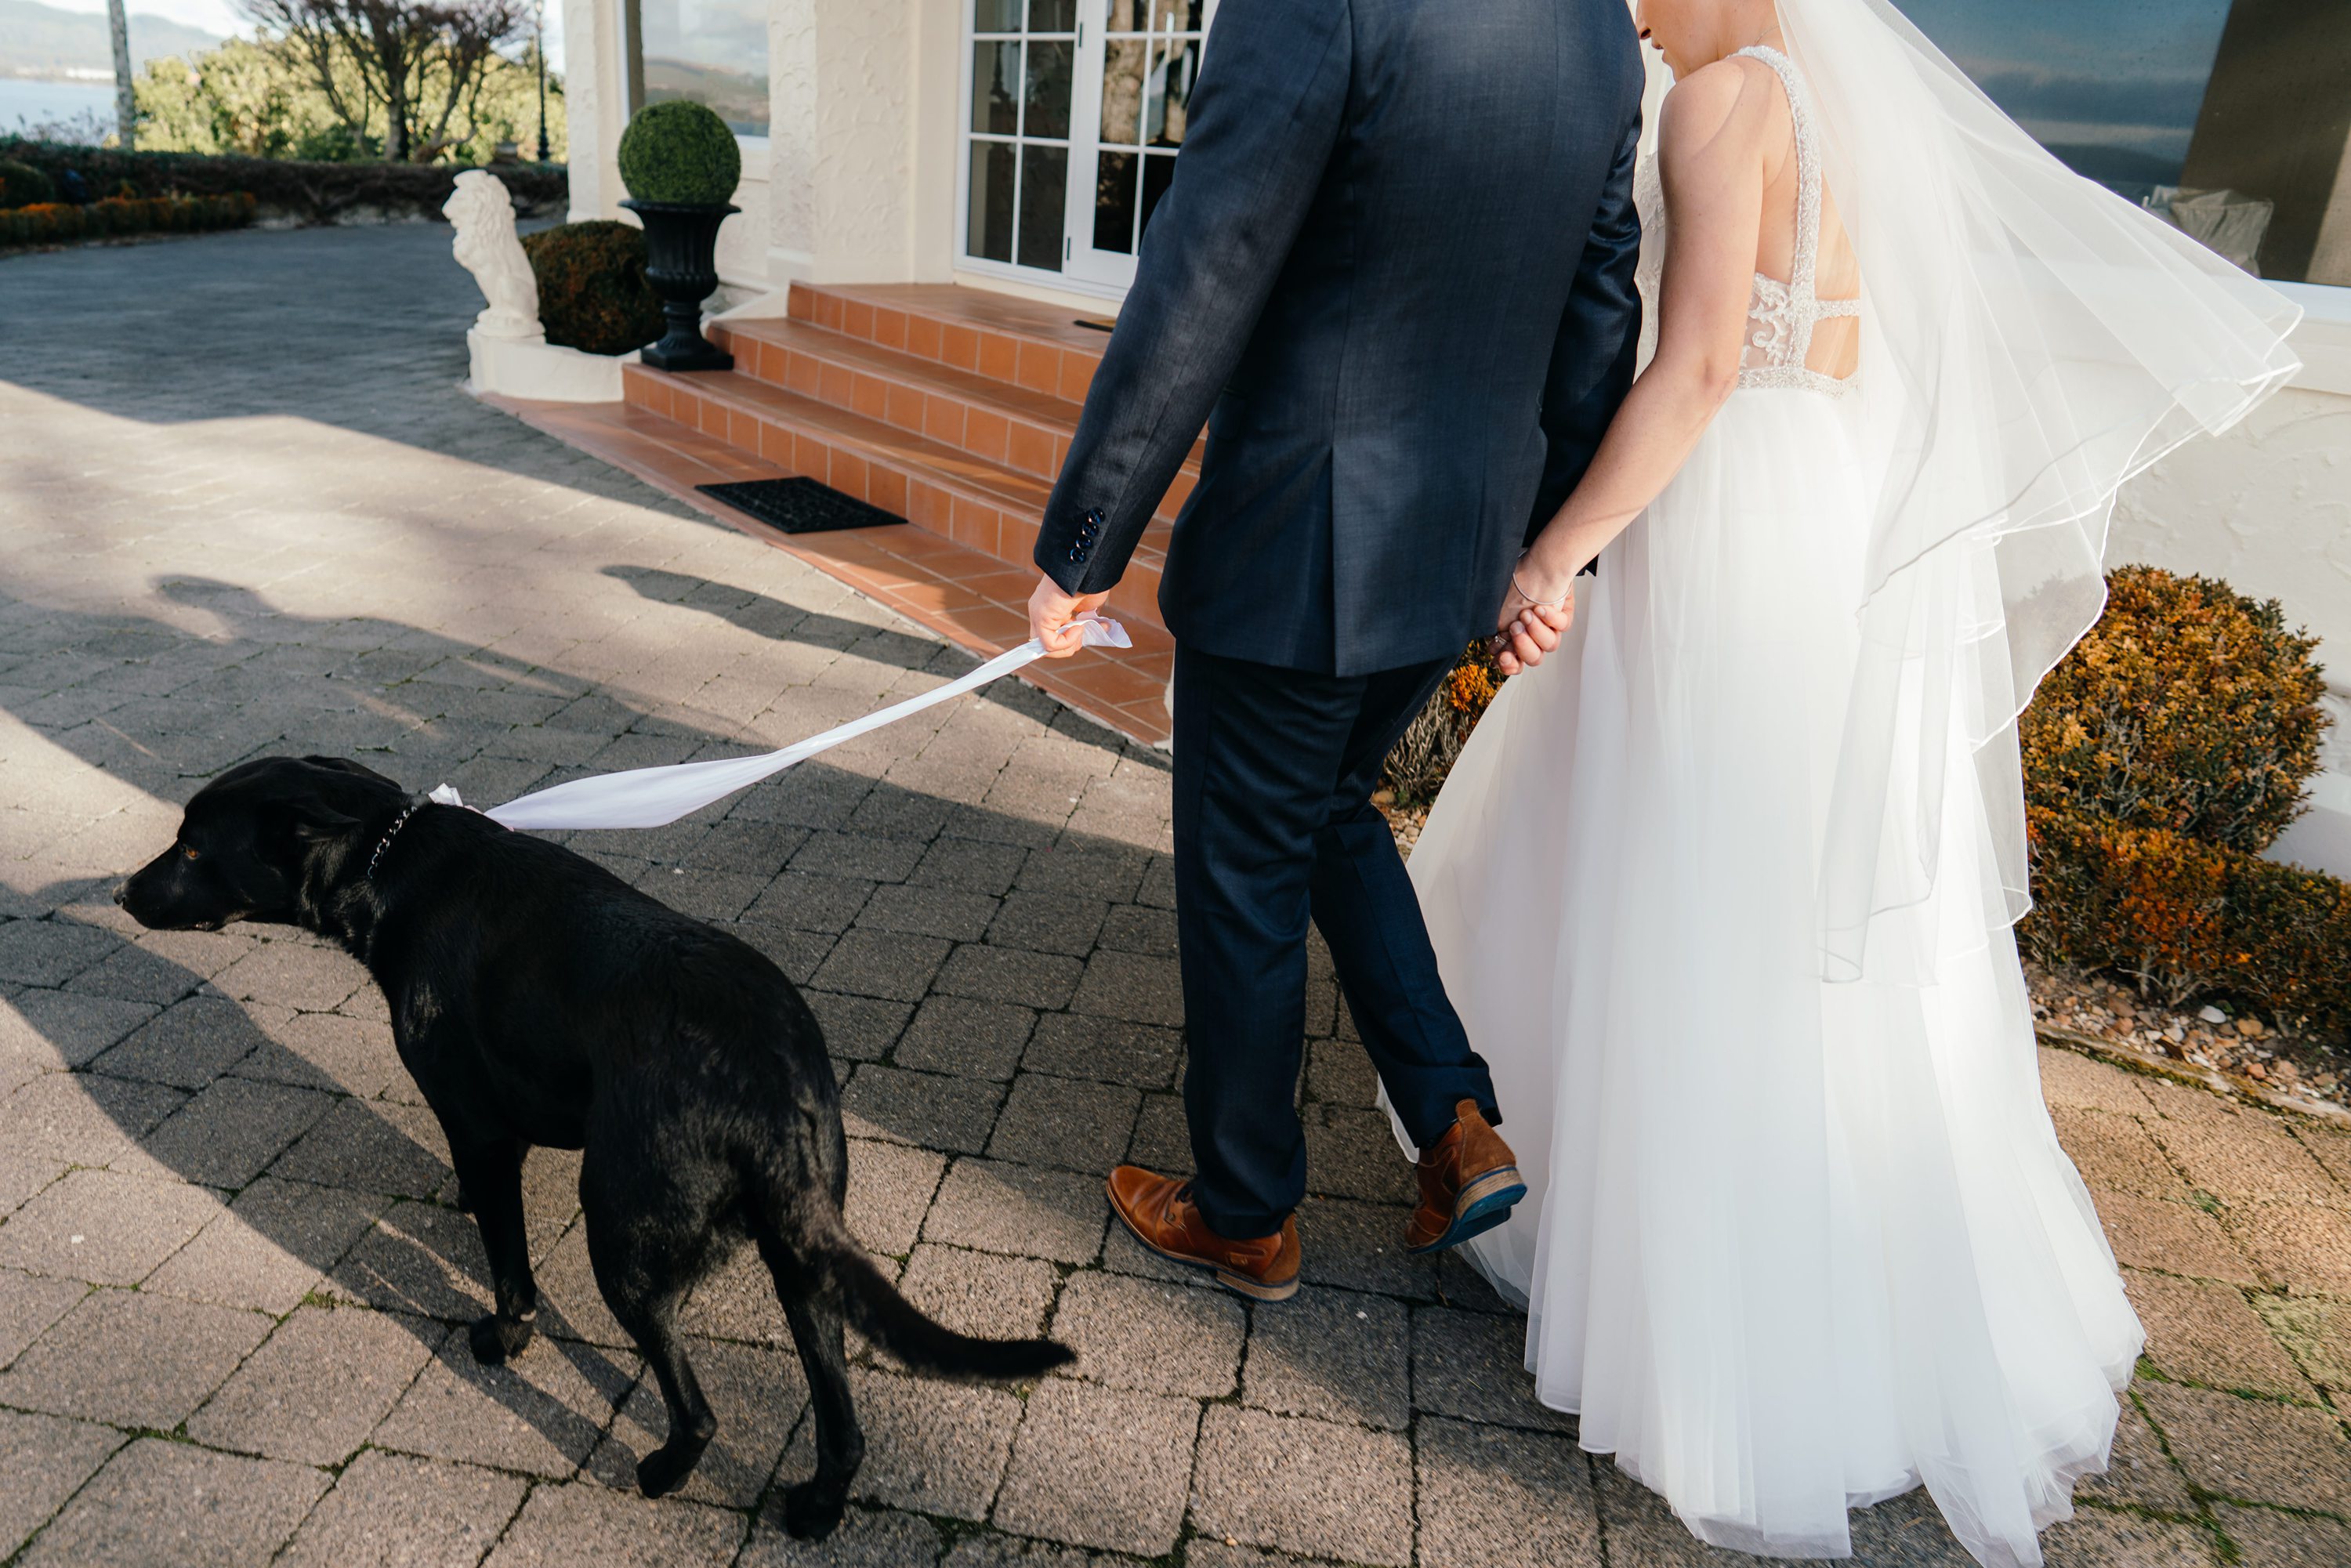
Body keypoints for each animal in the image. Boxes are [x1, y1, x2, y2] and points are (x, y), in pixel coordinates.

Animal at [121, 752, 1077, 1542]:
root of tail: (767, 1086)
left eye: (194, 851)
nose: (125, 894)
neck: (394, 863)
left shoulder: (481, 1129)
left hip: (623, 1237)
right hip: (802, 1258)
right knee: (841, 1423)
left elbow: (509, 1265)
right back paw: (814, 1510)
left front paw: (505, 1335)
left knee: (698, 1412)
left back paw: (660, 1474)